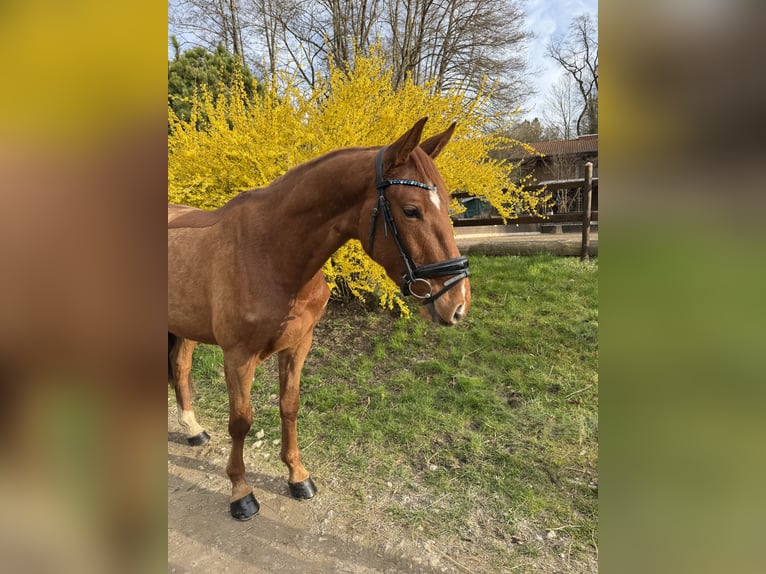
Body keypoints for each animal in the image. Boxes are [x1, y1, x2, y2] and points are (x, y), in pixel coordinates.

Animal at [168, 117, 471, 521]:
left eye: (450, 203)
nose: (458, 301)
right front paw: (241, 492)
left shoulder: (298, 345)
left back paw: (192, 428)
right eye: (411, 210)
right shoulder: (237, 357)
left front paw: (298, 476)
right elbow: (241, 421)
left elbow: (290, 406)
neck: (271, 253)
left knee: (180, 366)